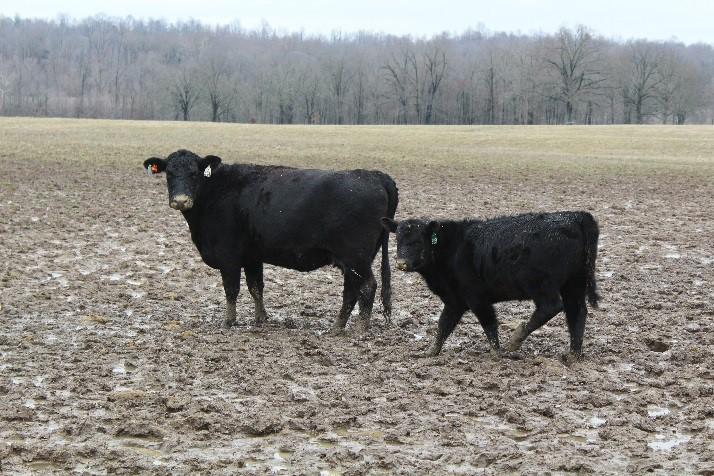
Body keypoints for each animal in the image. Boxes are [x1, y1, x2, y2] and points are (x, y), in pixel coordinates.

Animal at [142, 148, 398, 330]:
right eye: (169, 174)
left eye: (194, 173)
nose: (181, 200)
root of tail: (374, 175)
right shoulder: (252, 256)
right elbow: (256, 287)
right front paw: (261, 319)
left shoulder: (228, 256)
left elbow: (231, 290)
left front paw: (229, 322)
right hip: (353, 259)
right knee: (354, 289)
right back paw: (340, 326)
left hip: (355, 257)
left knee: (366, 287)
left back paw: (357, 328)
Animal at [382, 210, 596, 358]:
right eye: (398, 239)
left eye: (418, 241)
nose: (401, 263)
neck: (452, 248)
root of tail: (575, 216)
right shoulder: (454, 301)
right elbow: (443, 325)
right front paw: (430, 351)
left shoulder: (477, 298)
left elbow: (489, 324)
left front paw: (497, 352)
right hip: (574, 283)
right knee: (577, 312)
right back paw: (573, 354)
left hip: (542, 285)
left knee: (551, 307)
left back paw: (515, 340)